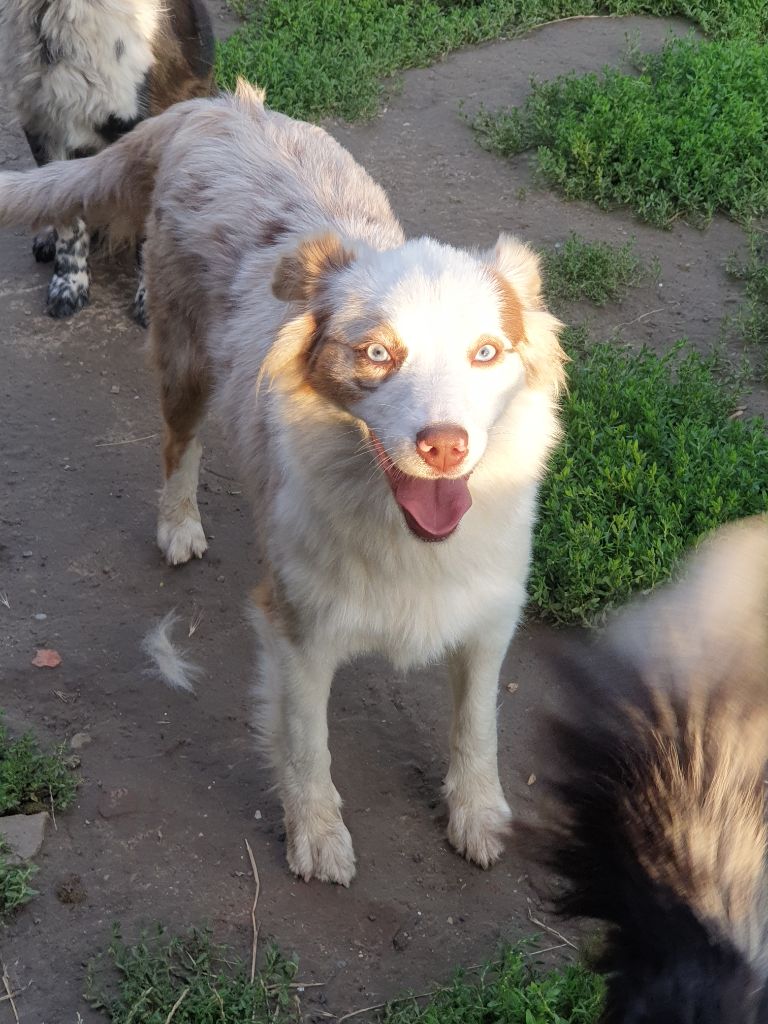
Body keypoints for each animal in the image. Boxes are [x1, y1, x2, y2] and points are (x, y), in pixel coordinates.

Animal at [0, 86, 565, 888]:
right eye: (377, 354)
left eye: (486, 353)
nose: (445, 446)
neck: (398, 528)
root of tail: (214, 107)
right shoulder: (299, 630)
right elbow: (307, 749)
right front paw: (317, 839)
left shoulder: (488, 618)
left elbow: (477, 728)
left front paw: (478, 816)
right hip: (183, 358)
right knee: (178, 445)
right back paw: (179, 524)